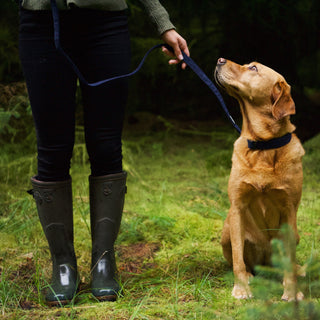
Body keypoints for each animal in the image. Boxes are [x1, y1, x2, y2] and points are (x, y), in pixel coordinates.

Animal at [215, 57, 304, 300]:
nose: (219, 60)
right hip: (227, 230)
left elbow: (289, 262)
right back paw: (249, 276)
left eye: (253, 68)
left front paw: (292, 292)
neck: (263, 144)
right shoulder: (237, 207)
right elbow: (238, 259)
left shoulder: (289, 209)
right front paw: (241, 289)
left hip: (295, 233)